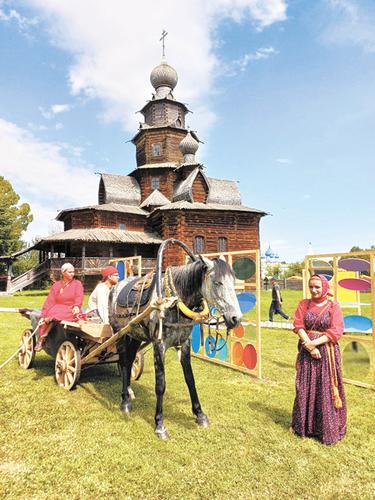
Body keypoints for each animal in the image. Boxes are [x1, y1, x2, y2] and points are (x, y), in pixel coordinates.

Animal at [110, 244, 242, 440]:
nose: (236, 318)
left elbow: (190, 379)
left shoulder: (184, 343)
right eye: (217, 282)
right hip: (119, 335)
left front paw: (200, 415)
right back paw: (125, 401)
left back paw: (129, 392)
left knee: (129, 361)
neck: (173, 301)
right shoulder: (159, 345)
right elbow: (160, 385)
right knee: (124, 363)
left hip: (134, 336)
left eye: (233, 282)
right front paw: (160, 424)